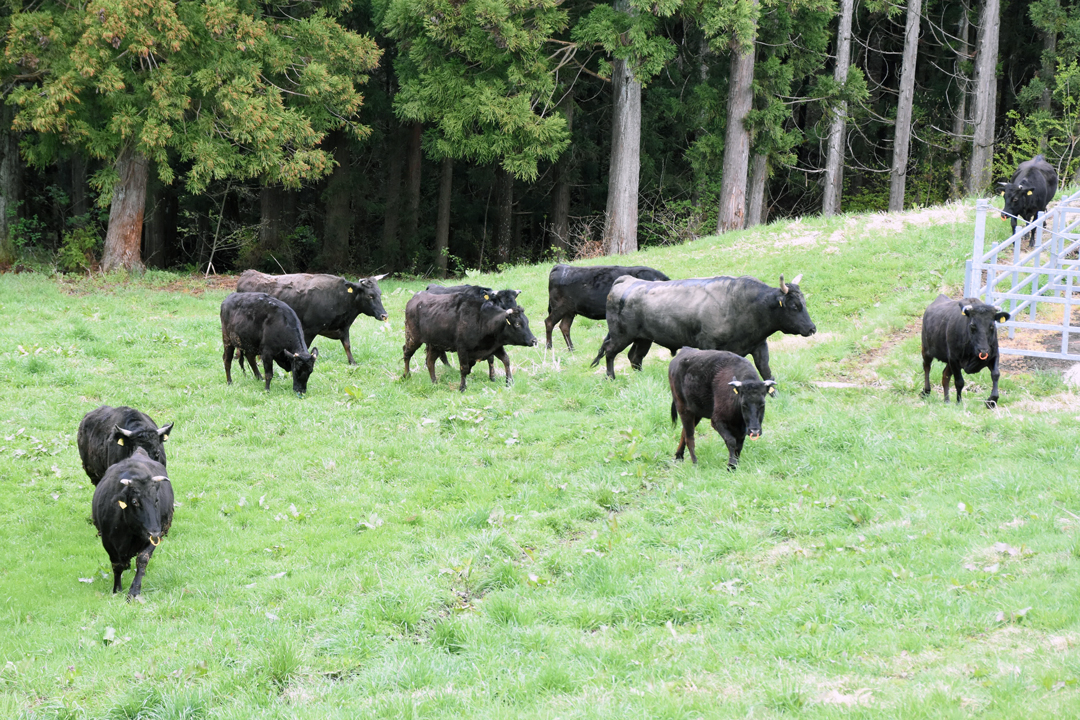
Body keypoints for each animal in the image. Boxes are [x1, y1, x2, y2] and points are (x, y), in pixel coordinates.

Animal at [90, 451, 173, 595]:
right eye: (135, 501)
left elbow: (142, 559)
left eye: (156, 500)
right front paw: (117, 590)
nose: (154, 532)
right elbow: (117, 565)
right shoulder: (107, 541)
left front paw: (134, 591)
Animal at [235, 268, 388, 362]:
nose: (384, 315)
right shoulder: (310, 329)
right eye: (370, 295)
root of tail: (249, 273)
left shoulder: (344, 327)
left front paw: (353, 362)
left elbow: (347, 345)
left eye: (380, 293)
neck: (339, 297)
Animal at [403, 289, 537, 395]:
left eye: (527, 322)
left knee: (430, 361)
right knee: (407, 353)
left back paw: (434, 382)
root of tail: (414, 299)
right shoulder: (462, 349)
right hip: (413, 338)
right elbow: (464, 368)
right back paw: (406, 375)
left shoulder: (495, 346)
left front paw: (509, 381)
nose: (534, 340)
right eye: (518, 324)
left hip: (435, 344)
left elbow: (506, 360)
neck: (482, 319)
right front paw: (462, 387)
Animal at [591, 273, 816, 379]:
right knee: (610, 352)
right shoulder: (709, 344)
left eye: (804, 303)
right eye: (794, 306)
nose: (812, 328)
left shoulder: (759, 345)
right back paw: (610, 377)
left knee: (635, 358)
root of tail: (627, 280)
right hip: (621, 335)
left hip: (643, 338)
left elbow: (766, 370)